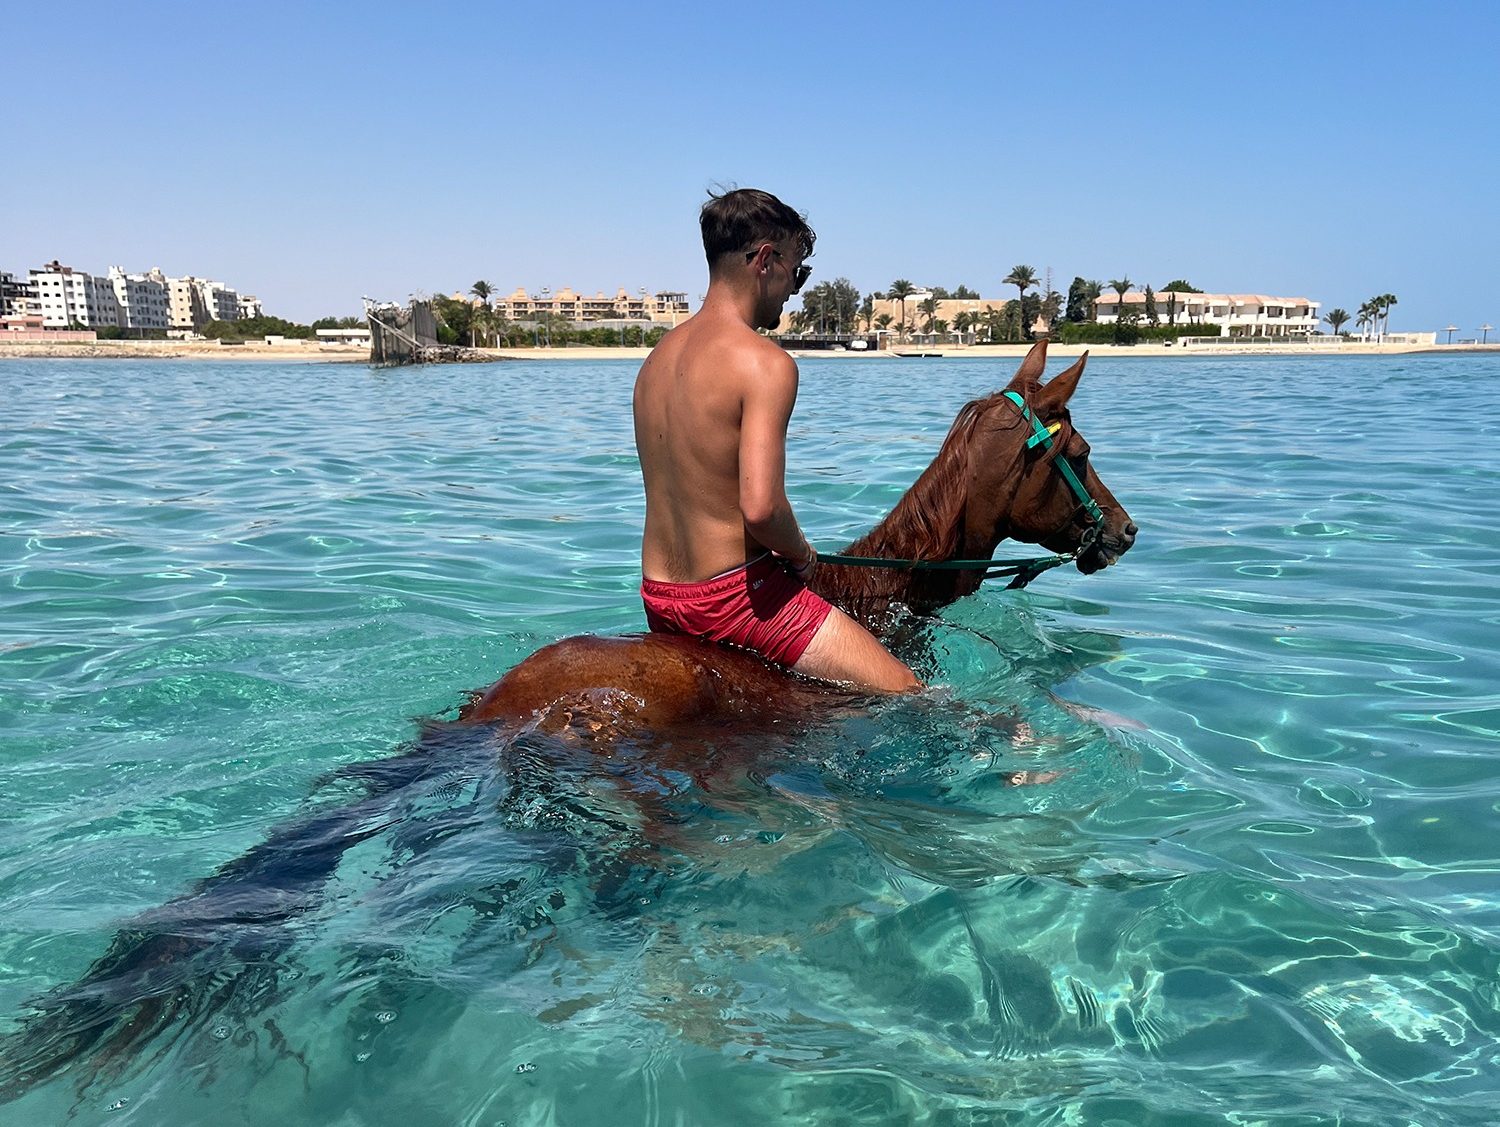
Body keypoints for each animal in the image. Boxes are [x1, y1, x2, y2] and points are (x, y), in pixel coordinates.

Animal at [0, 339, 1135, 1106]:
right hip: (592, 823)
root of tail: (504, 700)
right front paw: (1040, 759)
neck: (875, 593)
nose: (1124, 532)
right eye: (1078, 447)